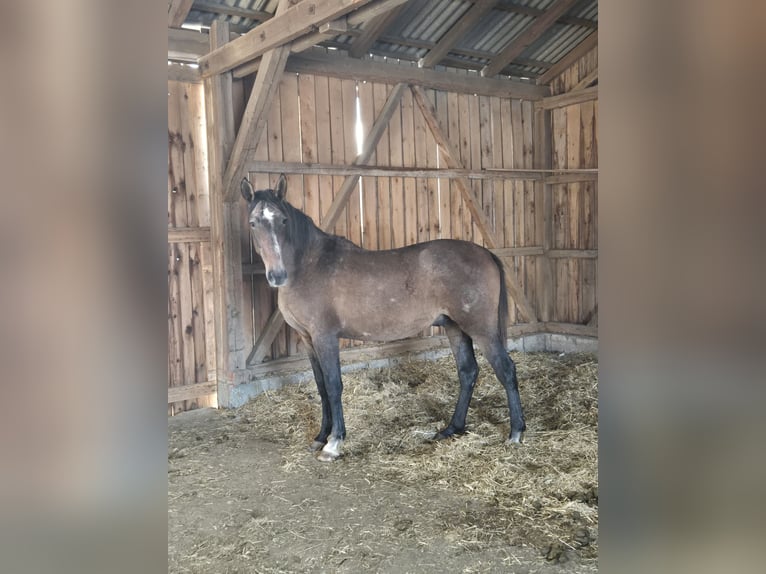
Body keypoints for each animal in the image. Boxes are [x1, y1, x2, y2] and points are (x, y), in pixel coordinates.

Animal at [241, 174, 526, 462]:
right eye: (253, 223)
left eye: (283, 221)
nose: (277, 275)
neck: (309, 265)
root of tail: (486, 253)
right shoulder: (309, 340)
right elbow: (321, 387)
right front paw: (321, 436)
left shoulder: (325, 337)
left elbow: (333, 385)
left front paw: (334, 443)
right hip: (455, 327)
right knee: (468, 372)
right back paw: (451, 429)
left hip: (481, 329)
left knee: (506, 370)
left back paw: (516, 433)